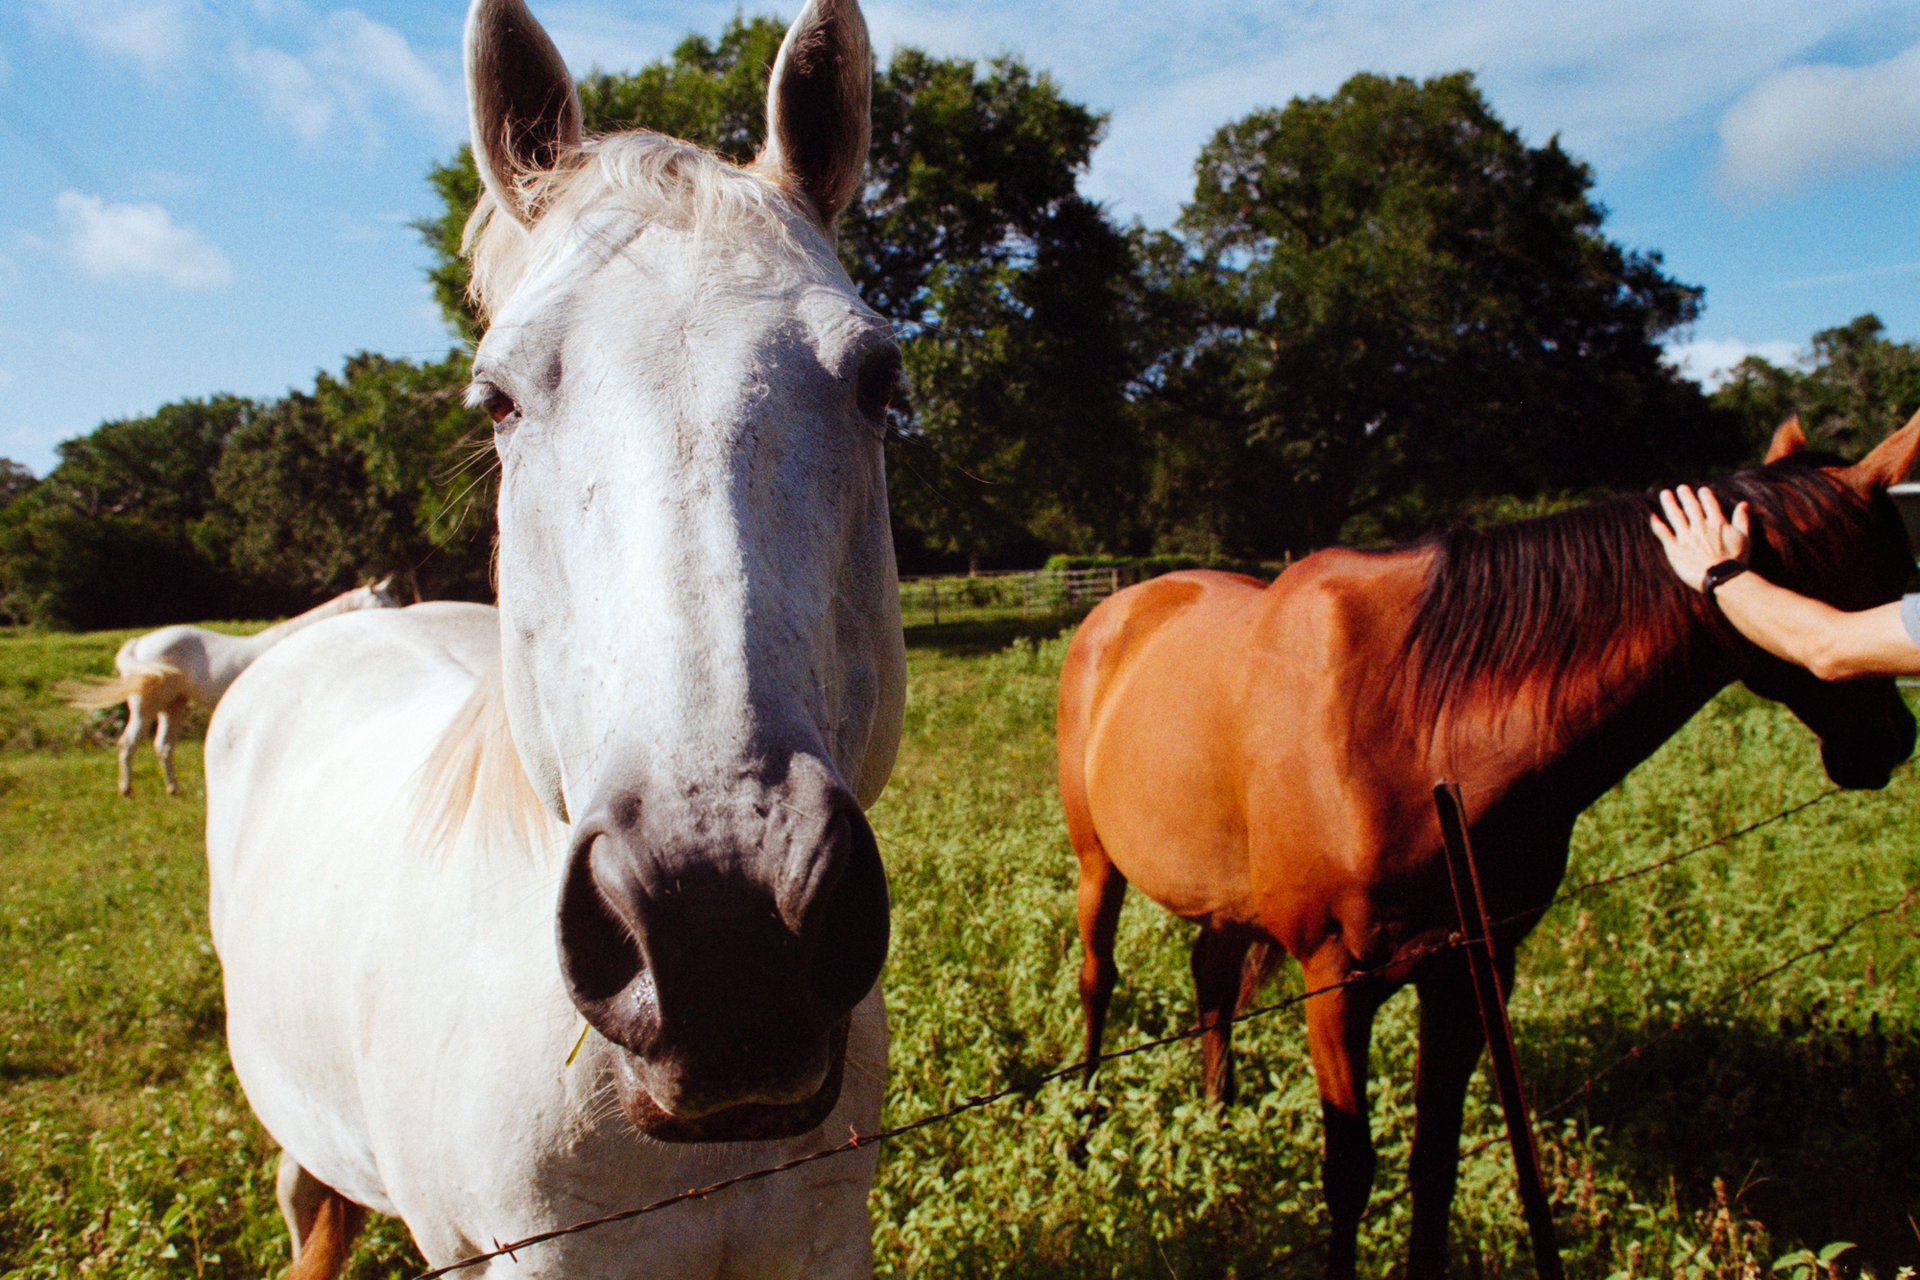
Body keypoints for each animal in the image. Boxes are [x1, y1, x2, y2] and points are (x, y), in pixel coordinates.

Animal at [60, 577, 398, 797]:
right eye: (384, 602)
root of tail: (139, 643)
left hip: (174, 705)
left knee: (163, 746)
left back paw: (173, 789)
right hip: (146, 708)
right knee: (129, 744)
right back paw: (127, 790)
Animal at [1058, 415, 1920, 1280]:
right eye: (1891, 574)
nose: (1893, 739)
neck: (1418, 725)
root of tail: (1119, 606)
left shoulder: (1471, 970)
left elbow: (1433, 1164)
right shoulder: (1335, 982)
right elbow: (1349, 1175)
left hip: (1225, 900)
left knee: (1210, 977)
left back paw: (1217, 1119)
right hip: (1097, 865)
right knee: (1099, 979)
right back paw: (1082, 1131)